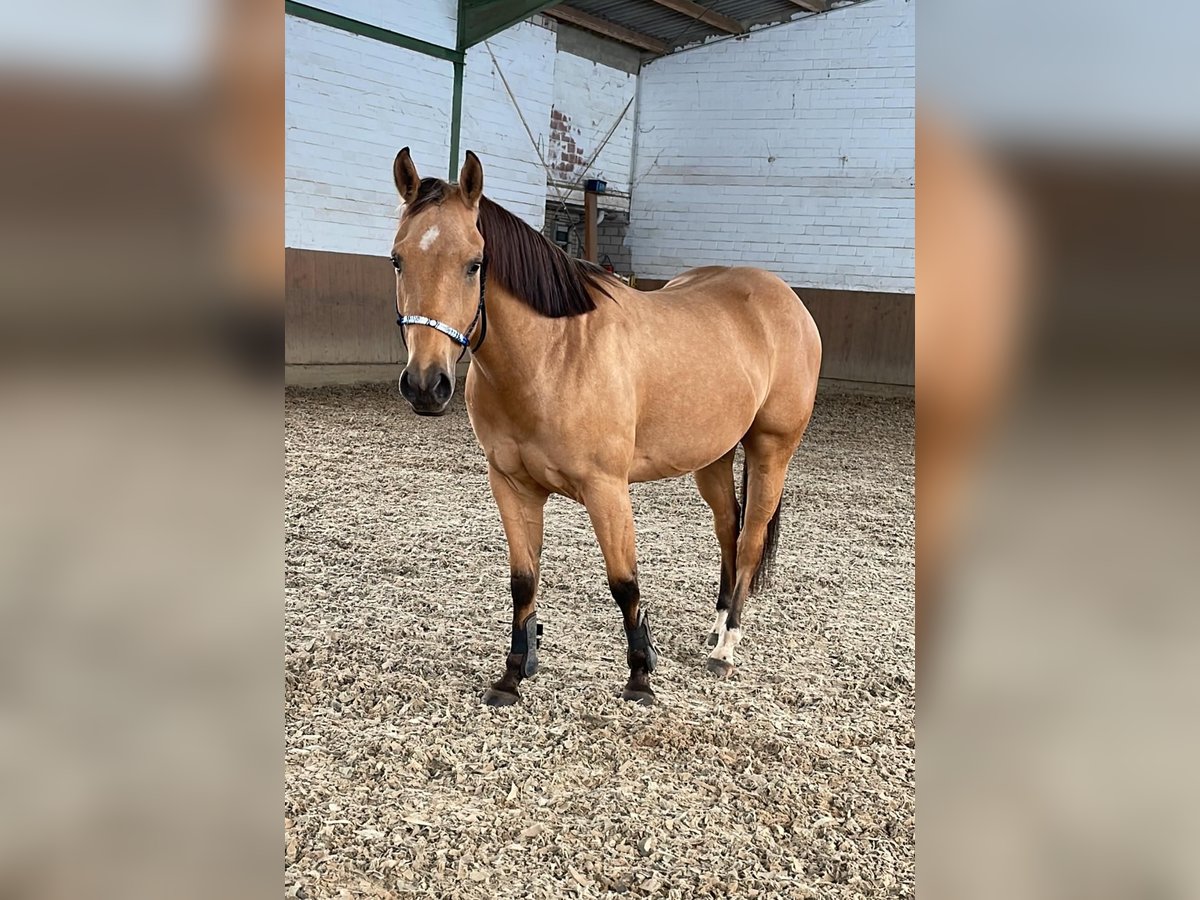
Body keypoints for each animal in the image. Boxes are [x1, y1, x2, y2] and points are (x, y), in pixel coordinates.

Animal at [388, 148, 820, 710]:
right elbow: (523, 581)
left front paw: (641, 676)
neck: (553, 355)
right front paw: (513, 674)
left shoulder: (606, 489)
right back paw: (717, 623)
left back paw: (725, 647)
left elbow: (624, 582)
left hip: (772, 450)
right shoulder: (511, 486)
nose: (425, 384)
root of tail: (787, 300)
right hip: (713, 456)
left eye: (474, 263)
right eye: (397, 259)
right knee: (728, 527)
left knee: (749, 539)